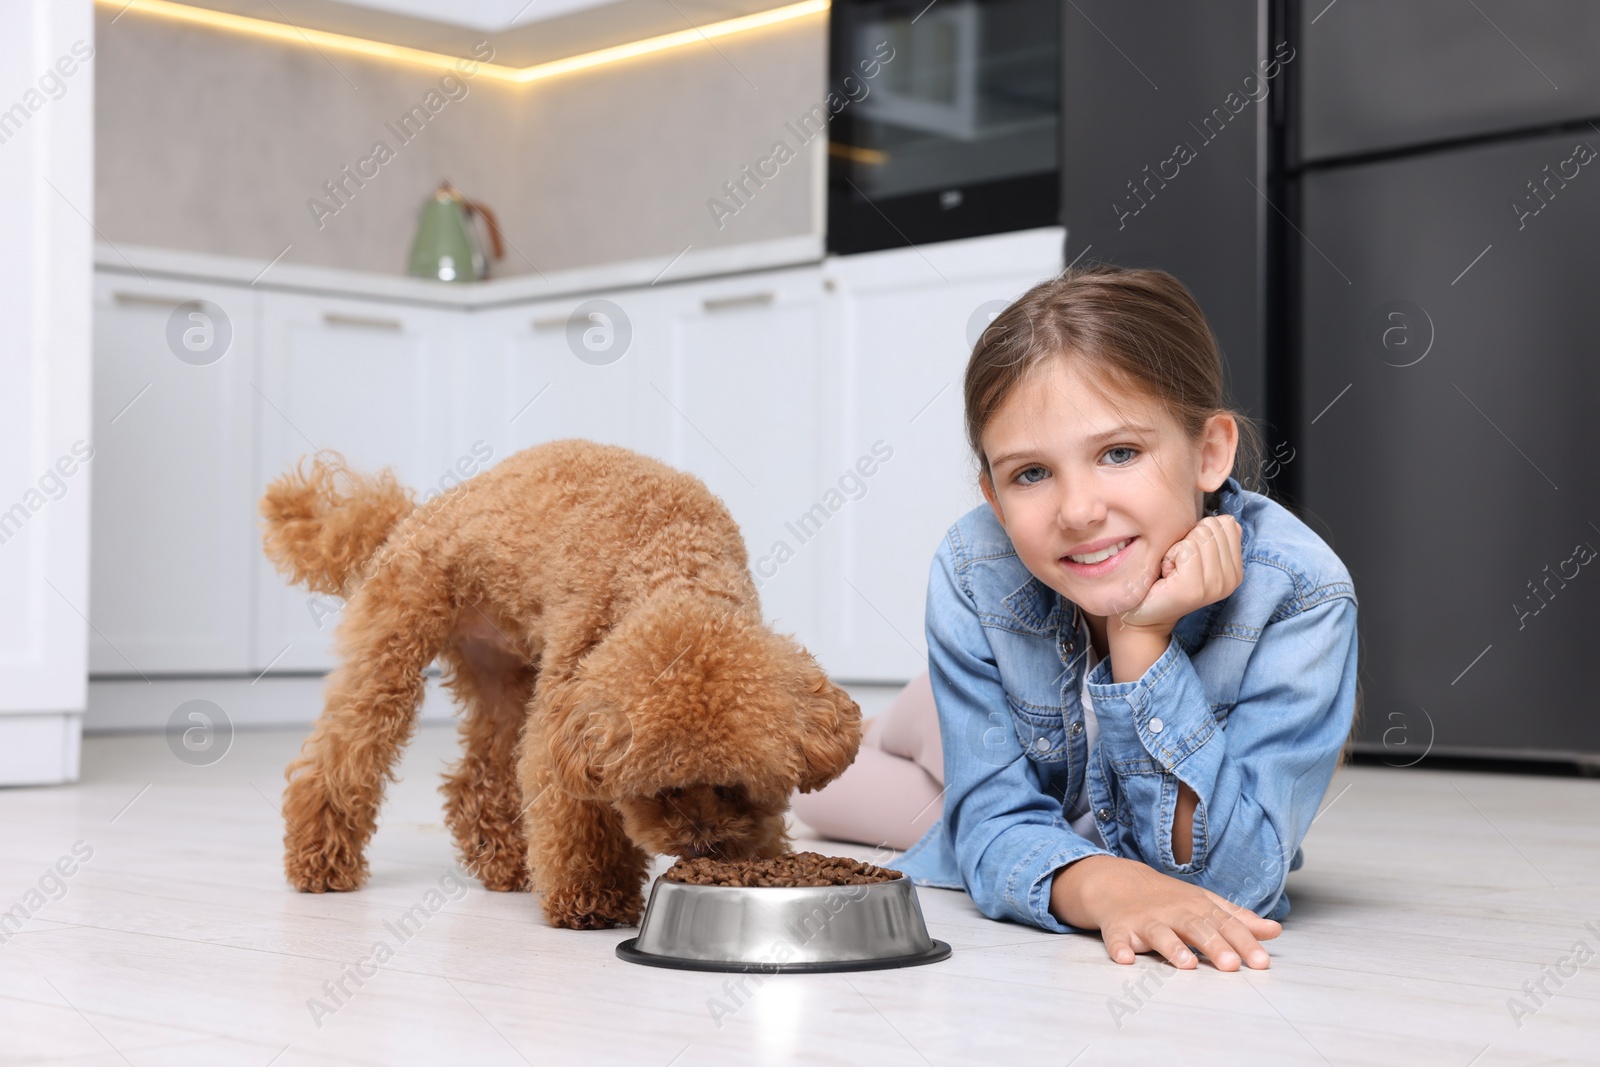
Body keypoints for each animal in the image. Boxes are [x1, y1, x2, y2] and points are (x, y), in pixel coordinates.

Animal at [262, 438, 864, 927]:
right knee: (343, 755)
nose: (705, 844)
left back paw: (506, 862)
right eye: (661, 792)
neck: (672, 562)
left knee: (478, 776)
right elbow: (576, 812)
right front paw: (594, 900)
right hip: (394, 648)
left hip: (502, 674)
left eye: (737, 789)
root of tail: (411, 517)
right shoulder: (573, 710)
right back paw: (321, 863)